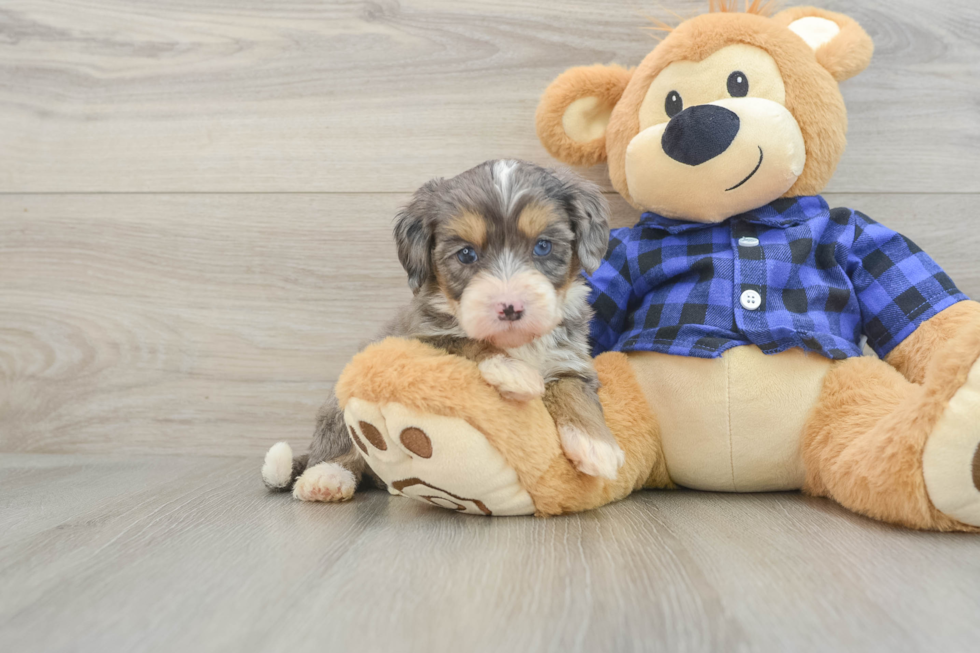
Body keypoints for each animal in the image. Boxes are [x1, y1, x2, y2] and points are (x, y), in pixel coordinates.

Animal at [264, 160, 624, 502]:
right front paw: (512, 371)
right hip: (340, 410)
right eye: (466, 254)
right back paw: (325, 478)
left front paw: (598, 446)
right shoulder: (419, 340)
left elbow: (574, 393)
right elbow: (466, 341)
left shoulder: (572, 361)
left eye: (544, 247)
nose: (510, 307)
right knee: (345, 450)